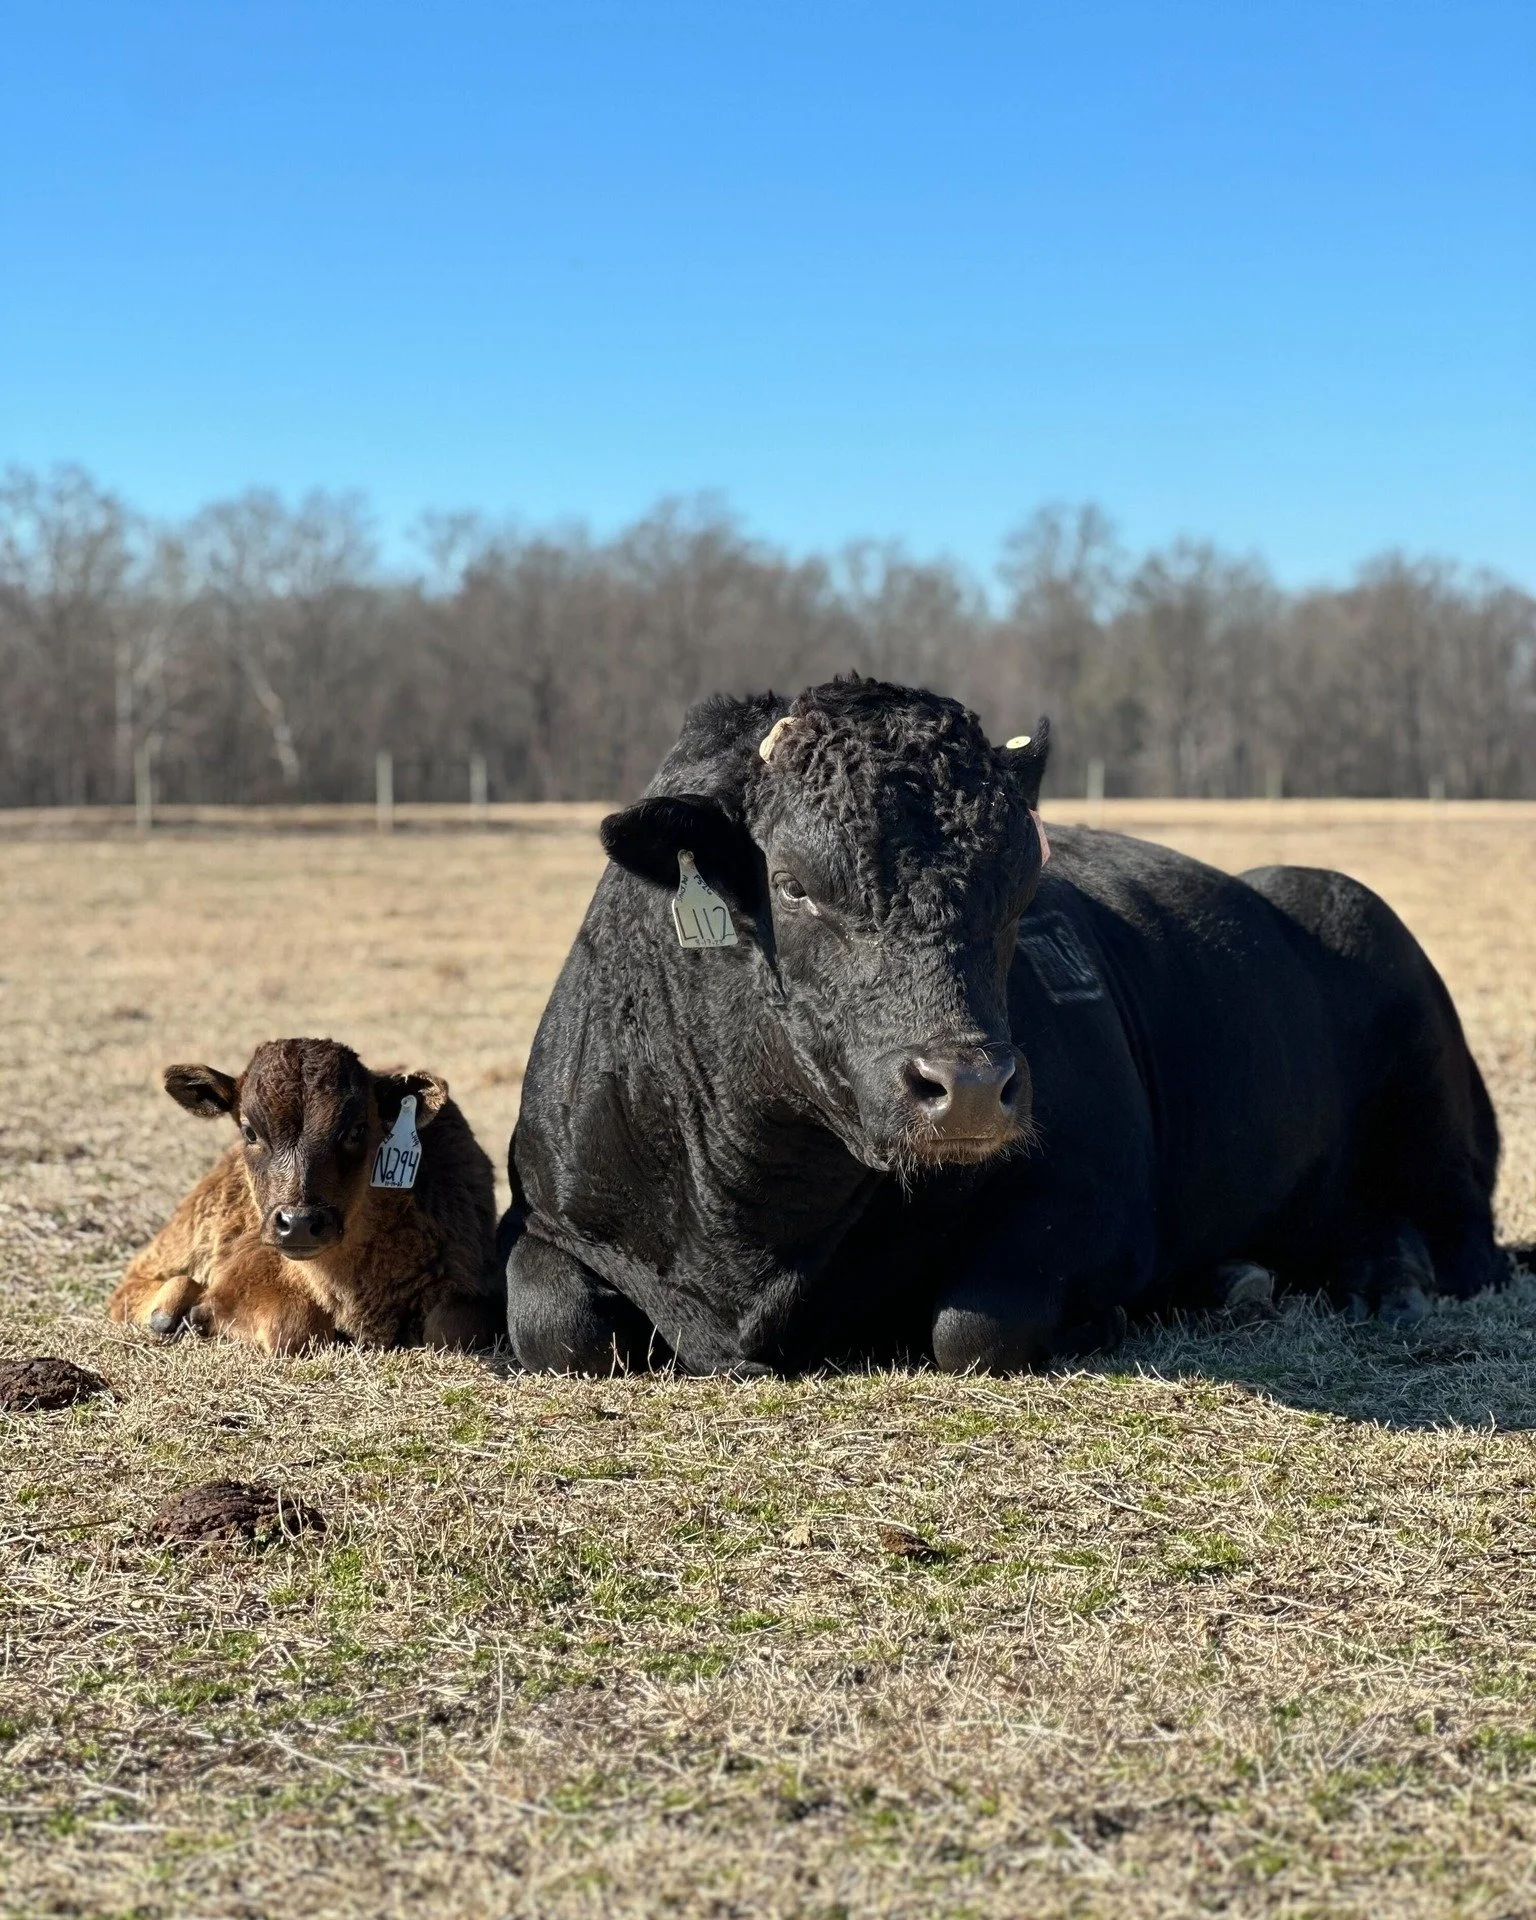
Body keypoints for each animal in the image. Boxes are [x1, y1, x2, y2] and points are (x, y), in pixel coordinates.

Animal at [110, 1038, 501, 1353]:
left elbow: (449, 1328)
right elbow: (294, 1326)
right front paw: (201, 1314)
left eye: (357, 1130)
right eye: (250, 1132)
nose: (299, 1223)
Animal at [501, 677, 1508, 1375]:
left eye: (1023, 883)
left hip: (1413, 1050)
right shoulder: (546, 1214)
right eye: (791, 883)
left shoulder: (1093, 1197)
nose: (973, 1090)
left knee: (1464, 1234)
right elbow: (557, 1325)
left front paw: (1107, 1316)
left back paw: (1390, 1282)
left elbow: (973, 1325)